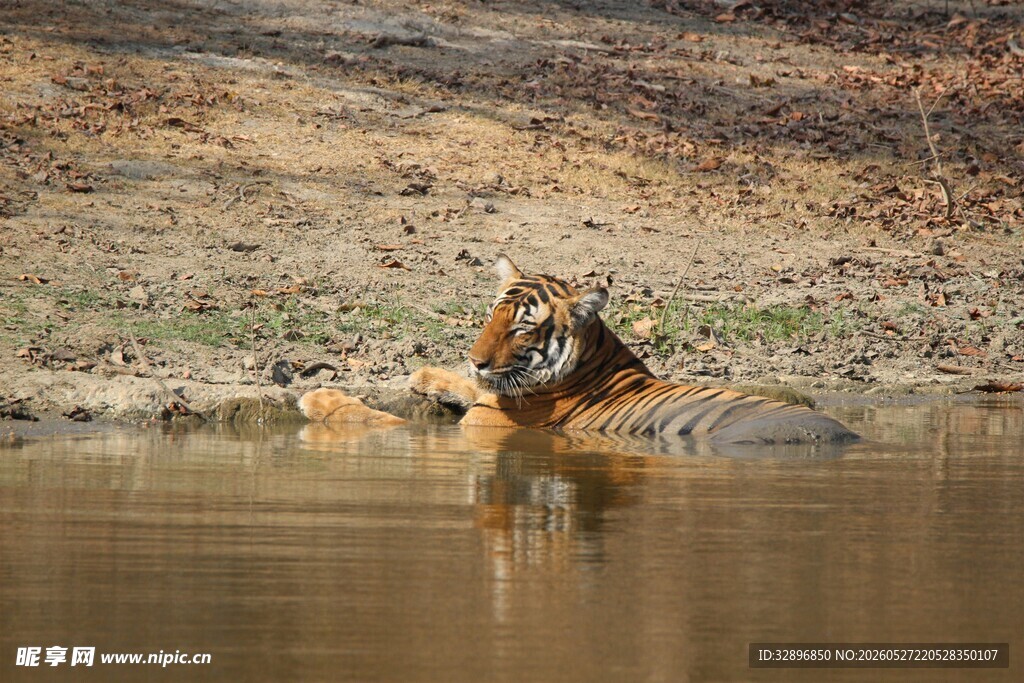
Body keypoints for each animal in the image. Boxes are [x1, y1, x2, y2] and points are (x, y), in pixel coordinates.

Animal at [300, 255, 858, 445]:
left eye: (522, 330)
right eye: (492, 316)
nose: (476, 358)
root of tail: (849, 435)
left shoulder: (488, 423)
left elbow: (389, 424)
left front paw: (320, 400)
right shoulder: (492, 397)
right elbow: (469, 387)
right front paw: (426, 375)